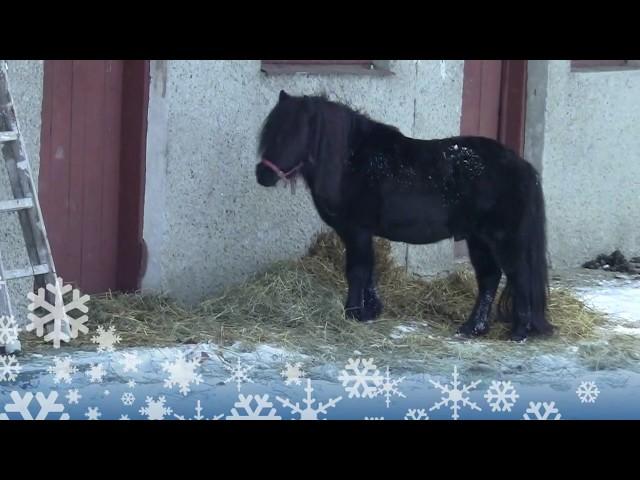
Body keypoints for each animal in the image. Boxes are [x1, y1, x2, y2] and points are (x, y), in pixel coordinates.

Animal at [255, 90, 552, 344]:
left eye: (293, 134)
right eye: (270, 132)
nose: (263, 175)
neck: (351, 161)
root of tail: (523, 166)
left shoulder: (357, 230)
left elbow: (357, 271)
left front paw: (352, 312)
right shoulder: (360, 233)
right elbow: (369, 271)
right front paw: (370, 311)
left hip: (503, 239)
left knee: (519, 277)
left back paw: (519, 332)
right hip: (478, 239)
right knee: (489, 278)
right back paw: (472, 328)